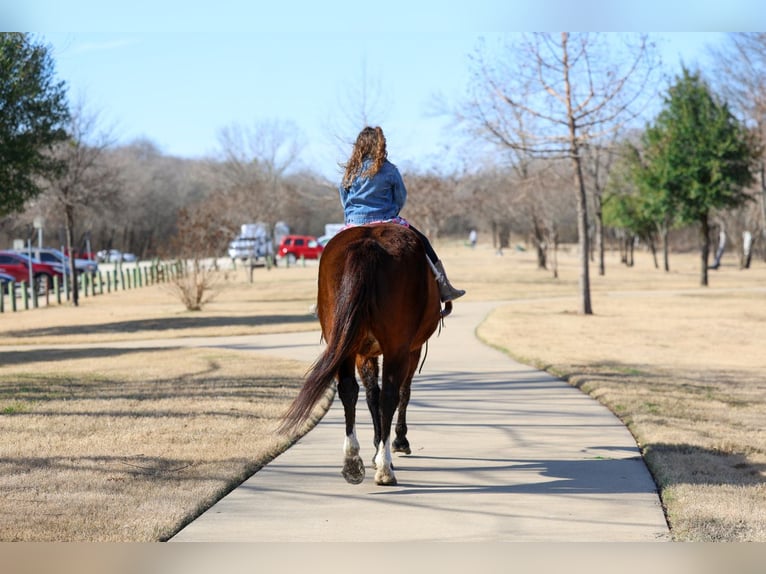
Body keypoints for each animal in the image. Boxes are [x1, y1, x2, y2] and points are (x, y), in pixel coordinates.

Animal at [279, 223, 449, 486]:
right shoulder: (412, 349)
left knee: (349, 390)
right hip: (396, 348)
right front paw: (396, 442)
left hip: (344, 344)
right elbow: (401, 393)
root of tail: (367, 244)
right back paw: (385, 468)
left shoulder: (362, 352)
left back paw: (352, 461)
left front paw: (376, 448)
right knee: (390, 395)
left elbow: (370, 395)